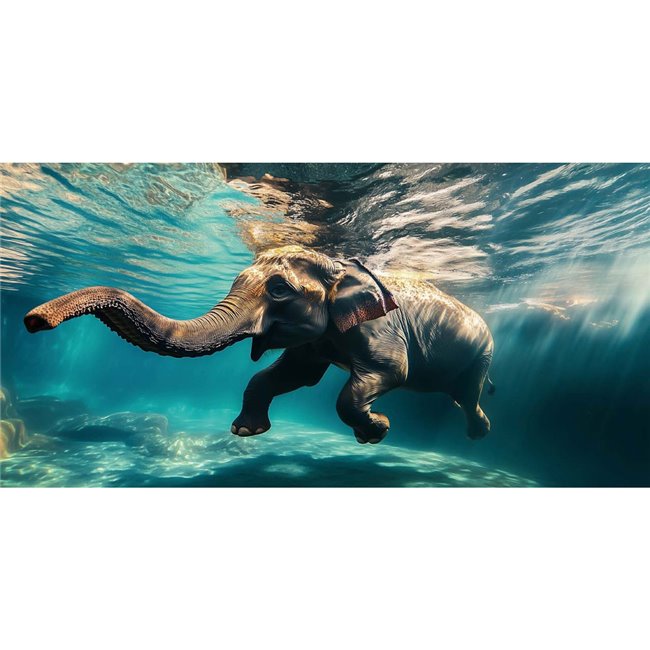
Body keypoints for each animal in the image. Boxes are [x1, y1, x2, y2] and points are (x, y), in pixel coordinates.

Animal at [24, 245, 494, 444]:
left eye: (280, 290)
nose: (34, 321)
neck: (341, 265)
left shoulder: (379, 330)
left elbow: (386, 374)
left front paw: (377, 430)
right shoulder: (317, 341)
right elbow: (291, 375)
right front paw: (245, 432)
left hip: (482, 352)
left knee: (469, 391)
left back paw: (479, 432)